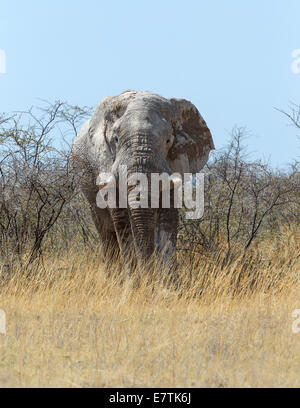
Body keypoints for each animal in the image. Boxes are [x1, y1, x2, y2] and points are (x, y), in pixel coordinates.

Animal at [71, 89, 213, 274]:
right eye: (115, 139)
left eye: (168, 140)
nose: (148, 273)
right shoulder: (105, 162)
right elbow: (122, 220)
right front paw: (134, 279)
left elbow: (167, 217)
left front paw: (166, 280)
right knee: (106, 228)